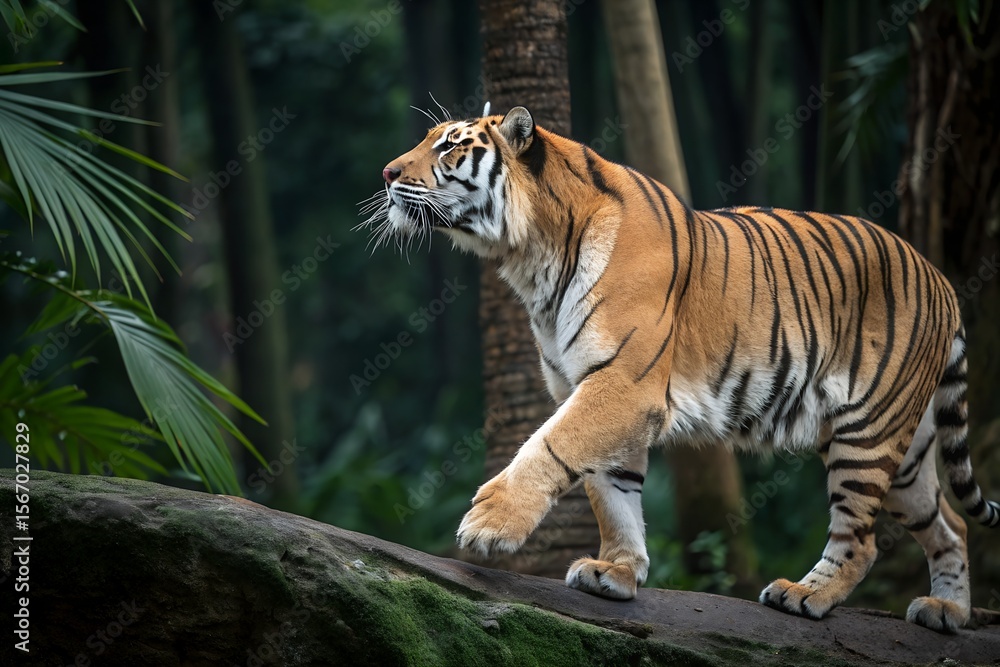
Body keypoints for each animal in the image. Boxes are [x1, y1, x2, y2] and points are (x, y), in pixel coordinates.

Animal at [359, 104, 999, 633]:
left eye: (448, 147)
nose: (386, 174)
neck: (531, 255)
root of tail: (941, 278)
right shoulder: (592, 387)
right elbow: (611, 491)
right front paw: (616, 573)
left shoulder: (623, 384)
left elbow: (551, 447)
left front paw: (490, 525)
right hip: (905, 448)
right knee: (951, 523)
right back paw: (946, 612)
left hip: (867, 434)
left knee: (861, 540)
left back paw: (804, 595)